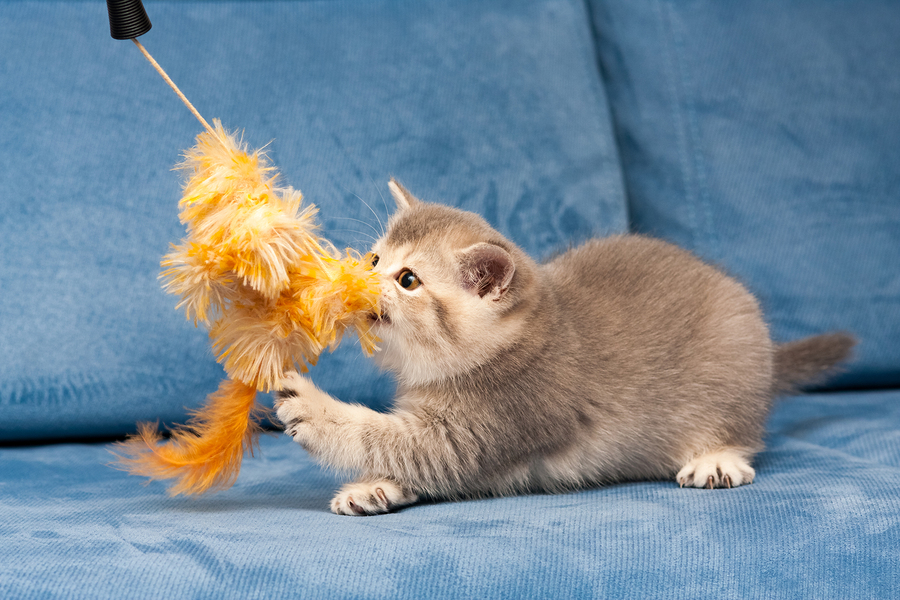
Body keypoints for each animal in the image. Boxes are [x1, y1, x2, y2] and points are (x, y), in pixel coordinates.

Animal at [278, 179, 856, 516]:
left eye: (408, 280)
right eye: (376, 259)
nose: (361, 278)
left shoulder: (491, 425)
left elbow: (400, 444)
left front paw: (315, 410)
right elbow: (401, 453)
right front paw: (375, 487)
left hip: (735, 360)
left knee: (743, 430)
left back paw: (718, 456)